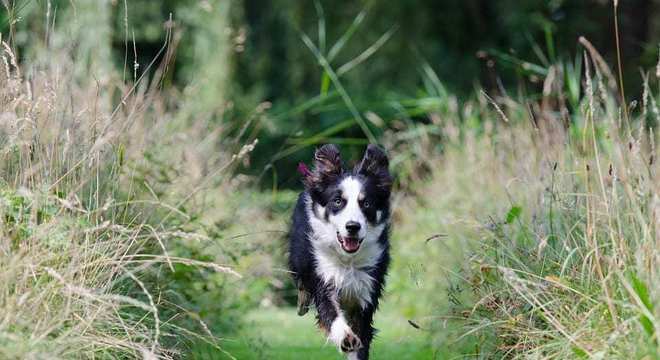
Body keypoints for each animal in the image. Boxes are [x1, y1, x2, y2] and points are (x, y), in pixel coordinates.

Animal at [286, 144, 390, 360]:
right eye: (337, 201)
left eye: (366, 203)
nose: (352, 226)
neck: (348, 260)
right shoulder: (323, 277)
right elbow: (330, 312)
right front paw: (346, 338)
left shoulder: (366, 289)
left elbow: (361, 336)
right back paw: (302, 302)